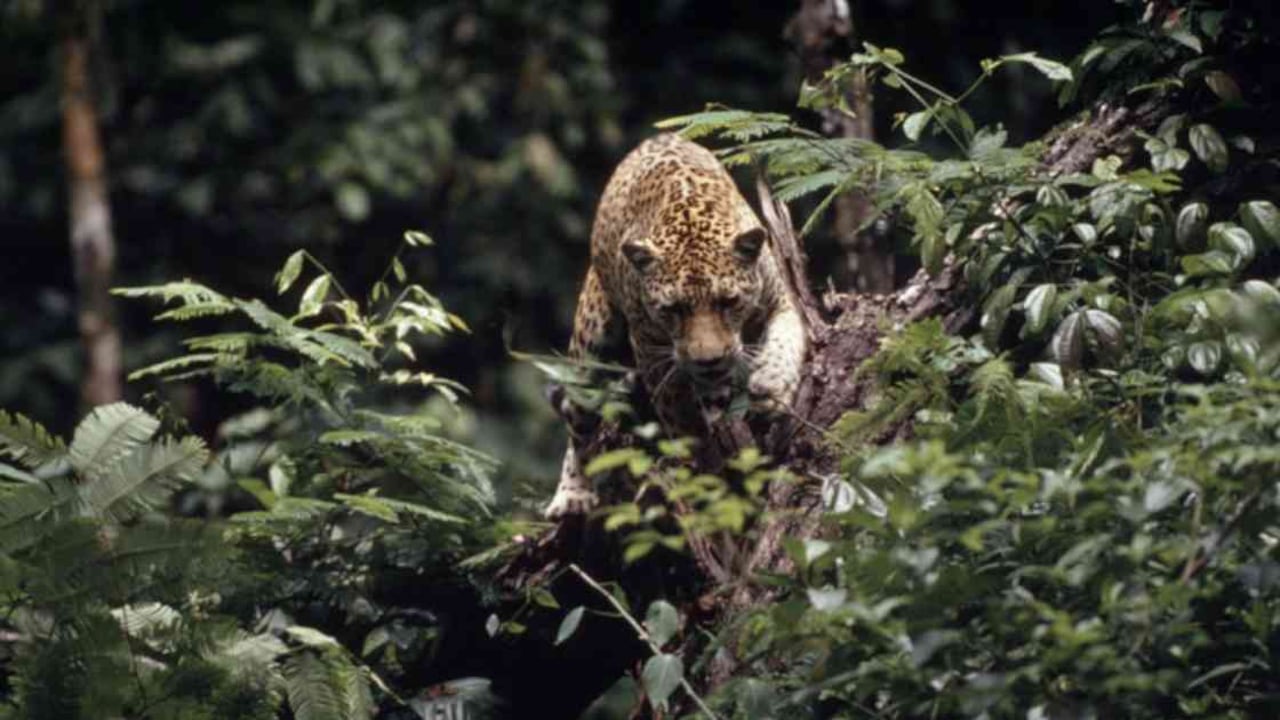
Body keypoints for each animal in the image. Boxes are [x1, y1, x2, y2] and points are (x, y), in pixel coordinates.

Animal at [545, 133, 807, 519]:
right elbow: (683, 424)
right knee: (576, 422)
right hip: (591, 342)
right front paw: (707, 475)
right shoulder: (652, 352)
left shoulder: (781, 302)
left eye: (728, 302)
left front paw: (773, 385)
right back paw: (571, 493)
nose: (709, 359)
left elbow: (786, 341)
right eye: (673, 310)